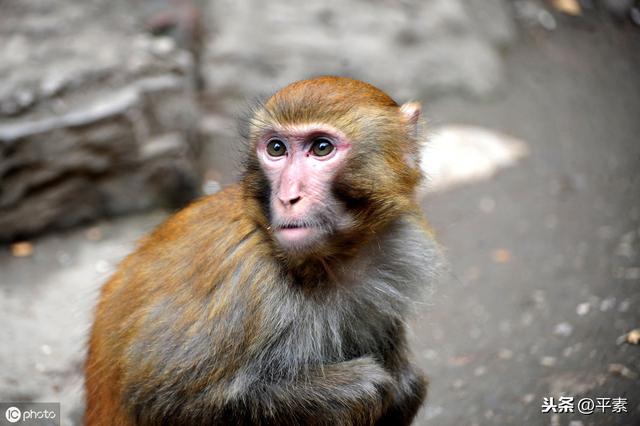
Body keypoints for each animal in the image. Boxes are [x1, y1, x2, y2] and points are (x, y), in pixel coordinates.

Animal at [85, 75, 442, 424]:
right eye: (276, 148)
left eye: (321, 148)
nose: (287, 197)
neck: (326, 262)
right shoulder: (245, 279)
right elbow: (161, 399)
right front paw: (358, 387)